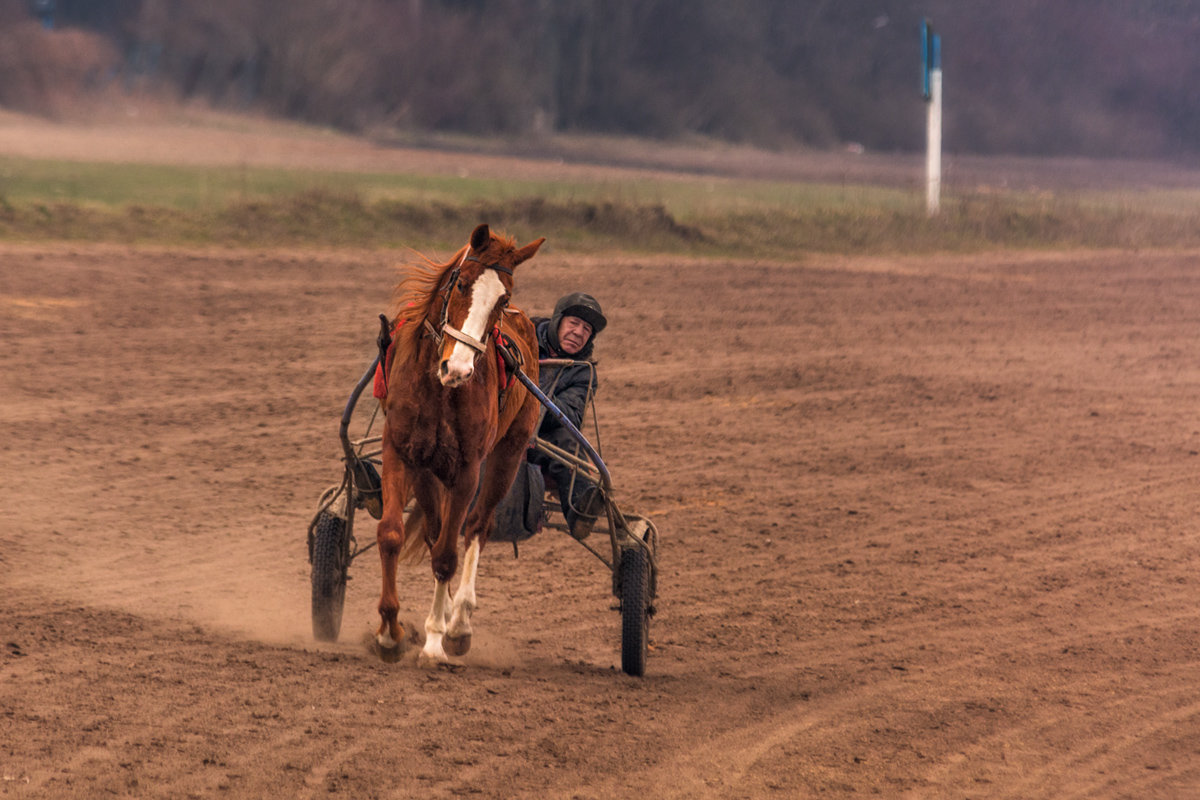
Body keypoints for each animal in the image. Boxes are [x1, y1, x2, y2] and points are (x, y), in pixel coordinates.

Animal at [376, 224, 542, 662]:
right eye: (462, 283)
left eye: (503, 299)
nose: (459, 369)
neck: (440, 388)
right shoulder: (402, 453)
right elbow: (392, 534)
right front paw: (389, 631)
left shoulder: (468, 469)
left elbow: (448, 556)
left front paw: (435, 640)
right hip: (429, 472)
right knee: (436, 531)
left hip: (507, 455)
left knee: (477, 528)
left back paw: (459, 621)